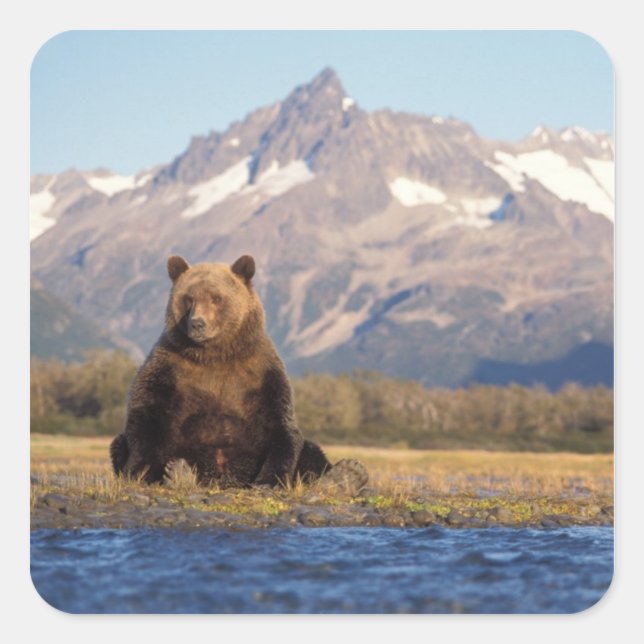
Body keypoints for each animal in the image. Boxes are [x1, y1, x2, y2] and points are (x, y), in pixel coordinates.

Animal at [110, 253, 368, 493]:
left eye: (216, 298)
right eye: (188, 298)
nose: (198, 323)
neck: (214, 354)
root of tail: (226, 481)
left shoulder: (260, 373)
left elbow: (279, 425)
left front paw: (269, 481)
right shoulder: (169, 367)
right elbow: (146, 416)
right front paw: (146, 472)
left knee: (311, 450)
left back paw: (347, 474)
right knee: (119, 443)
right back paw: (179, 474)